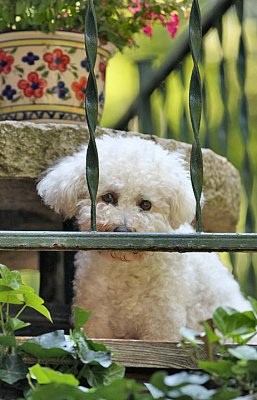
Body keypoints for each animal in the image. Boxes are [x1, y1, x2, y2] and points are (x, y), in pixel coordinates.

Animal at [37, 135, 251, 340]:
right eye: (108, 197)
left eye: (146, 204)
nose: (123, 230)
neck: (126, 269)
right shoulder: (96, 319)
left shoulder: (163, 324)